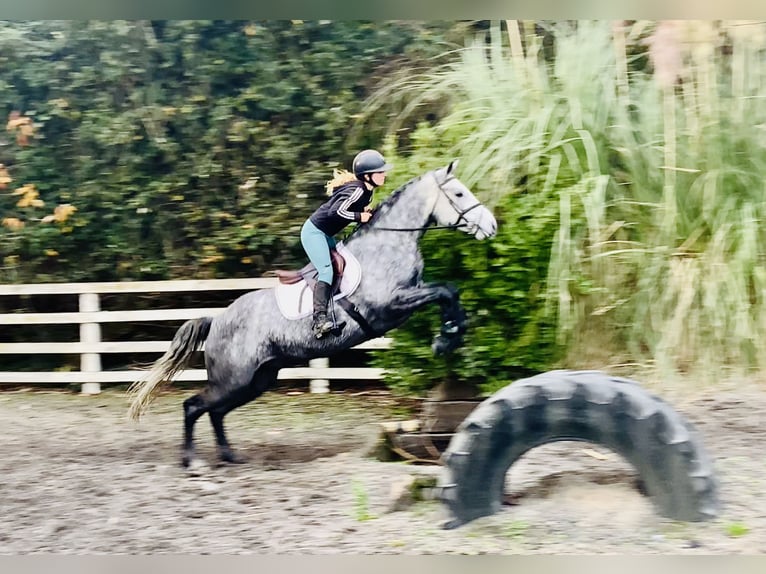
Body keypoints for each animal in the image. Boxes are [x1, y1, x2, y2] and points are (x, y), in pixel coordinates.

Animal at [127, 160, 497, 468]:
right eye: (459, 193)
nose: (492, 226)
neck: (389, 243)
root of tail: (216, 319)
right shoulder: (390, 305)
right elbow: (444, 291)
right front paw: (445, 338)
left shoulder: (407, 298)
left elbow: (449, 291)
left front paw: (451, 334)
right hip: (234, 379)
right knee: (194, 406)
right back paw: (192, 461)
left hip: (256, 380)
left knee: (216, 413)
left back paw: (230, 456)